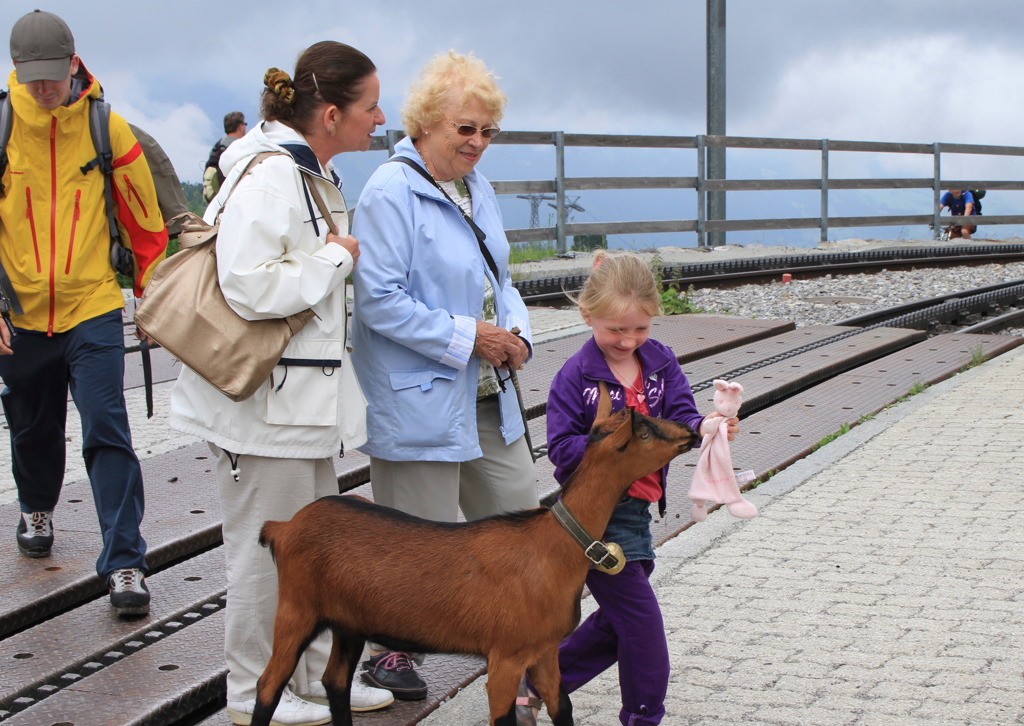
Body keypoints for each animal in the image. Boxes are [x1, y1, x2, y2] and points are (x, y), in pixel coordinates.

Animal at [250, 401, 696, 724]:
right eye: (643, 432)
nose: (691, 431)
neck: (555, 546)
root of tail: (284, 527)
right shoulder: (506, 656)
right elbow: (504, 718)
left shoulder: (544, 650)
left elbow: (562, 705)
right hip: (297, 609)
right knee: (268, 684)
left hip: (348, 621)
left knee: (336, 681)